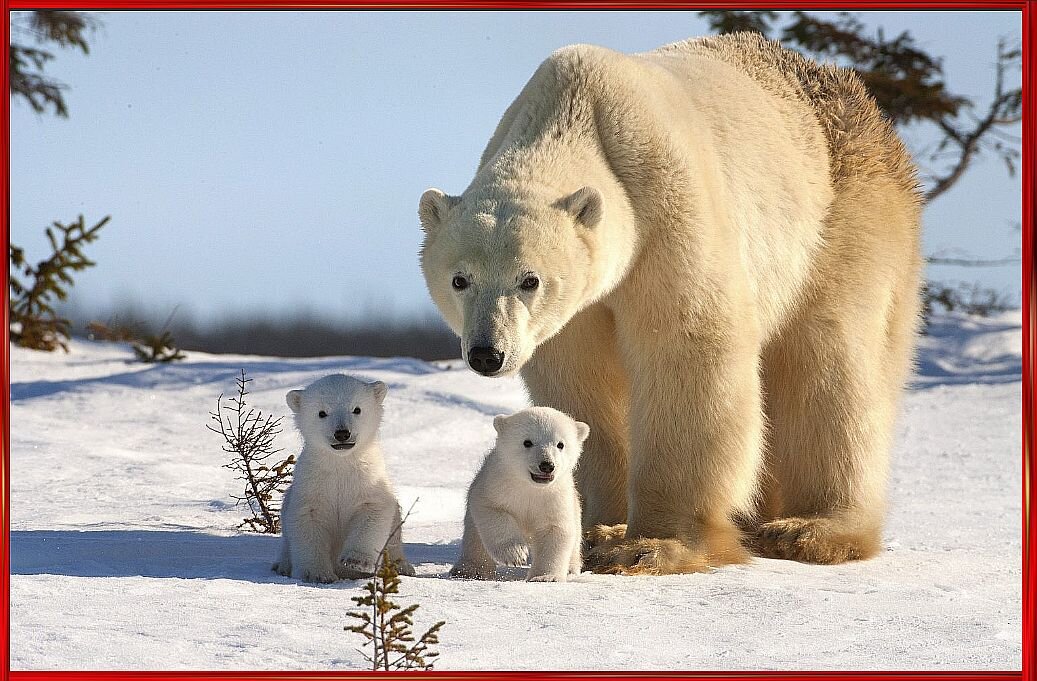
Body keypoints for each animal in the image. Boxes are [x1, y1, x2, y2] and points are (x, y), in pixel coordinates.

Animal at [273, 375, 414, 580]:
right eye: (322, 413)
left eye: (357, 409)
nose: (342, 433)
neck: (341, 462)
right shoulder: (312, 485)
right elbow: (308, 521)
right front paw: (316, 574)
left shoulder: (369, 481)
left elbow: (372, 513)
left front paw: (356, 561)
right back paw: (281, 566)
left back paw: (401, 566)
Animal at [450, 406, 589, 580]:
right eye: (527, 442)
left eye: (560, 444)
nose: (546, 465)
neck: (531, 487)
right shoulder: (497, 484)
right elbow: (493, 510)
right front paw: (515, 554)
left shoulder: (555, 497)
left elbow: (554, 529)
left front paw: (545, 577)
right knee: (475, 538)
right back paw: (470, 569)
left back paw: (571, 568)